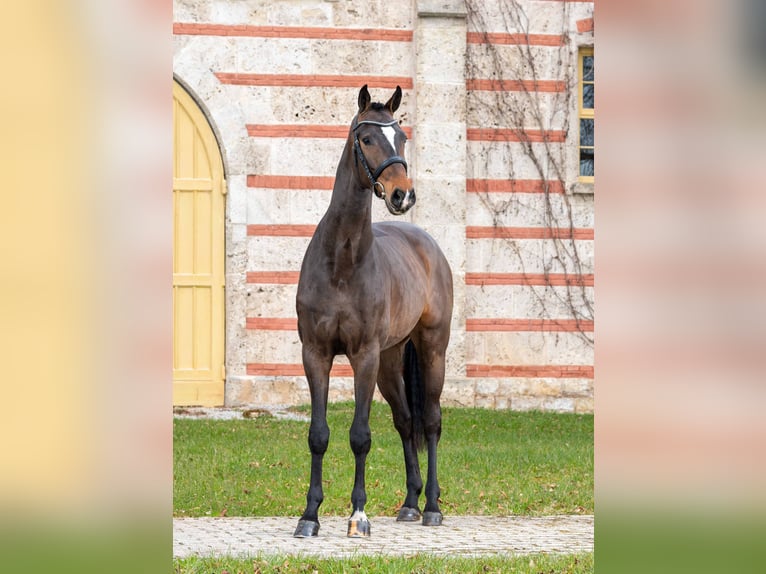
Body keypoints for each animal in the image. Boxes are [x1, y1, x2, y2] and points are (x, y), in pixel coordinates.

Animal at [293, 85, 454, 538]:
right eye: (366, 138)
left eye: (401, 138)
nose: (403, 195)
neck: (342, 261)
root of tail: (426, 244)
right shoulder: (316, 354)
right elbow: (319, 434)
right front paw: (309, 516)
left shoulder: (363, 356)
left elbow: (360, 435)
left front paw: (358, 516)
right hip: (391, 360)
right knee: (405, 422)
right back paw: (410, 503)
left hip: (431, 350)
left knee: (430, 421)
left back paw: (431, 506)